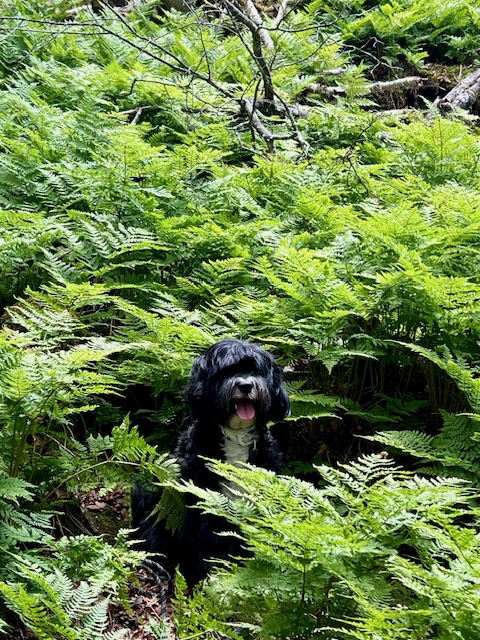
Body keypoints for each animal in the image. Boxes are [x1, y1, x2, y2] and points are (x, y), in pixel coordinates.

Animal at [132, 338, 290, 586]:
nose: (246, 386)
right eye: (226, 371)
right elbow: (208, 542)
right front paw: (212, 575)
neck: (235, 436)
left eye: (255, 370)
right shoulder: (204, 502)